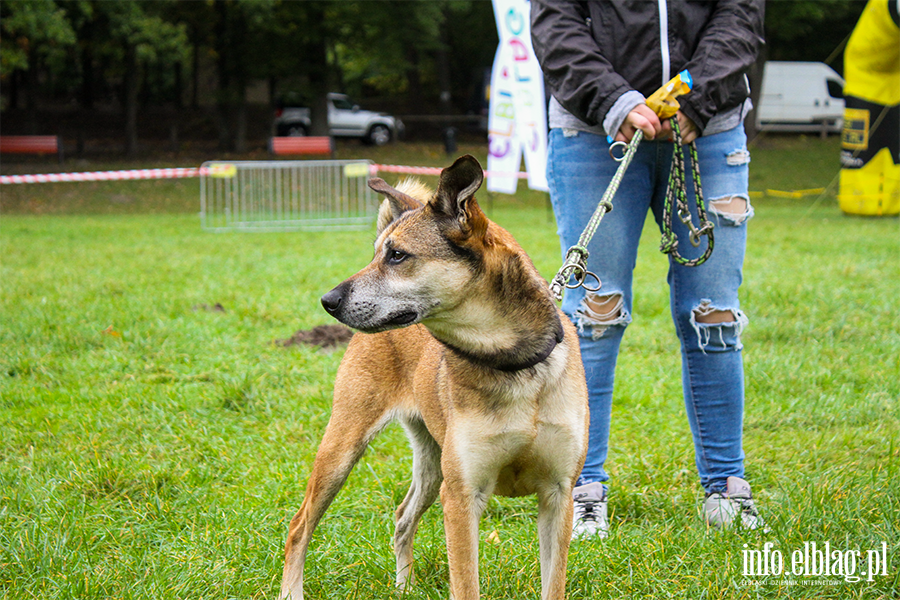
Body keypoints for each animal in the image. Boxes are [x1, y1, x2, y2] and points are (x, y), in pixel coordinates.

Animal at [282, 156, 592, 600]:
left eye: (397, 255)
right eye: (377, 254)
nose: (328, 300)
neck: (514, 365)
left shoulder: (557, 494)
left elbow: (554, 584)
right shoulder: (462, 497)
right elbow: (465, 584)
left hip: (432, 467)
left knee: (401, 516)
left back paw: (403, 586)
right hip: (344, 448)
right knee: (300, 525)